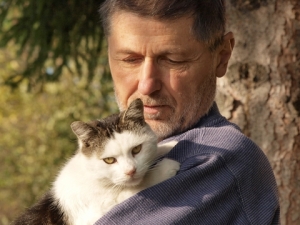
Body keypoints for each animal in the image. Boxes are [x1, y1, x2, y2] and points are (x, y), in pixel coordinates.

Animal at [12, 98, 179, 225]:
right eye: (109, 160)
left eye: (137, 149)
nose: (131, 171)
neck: (92, 175)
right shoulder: (92, 215)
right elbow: (133, 188)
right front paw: (165, 168)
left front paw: (169, 145)